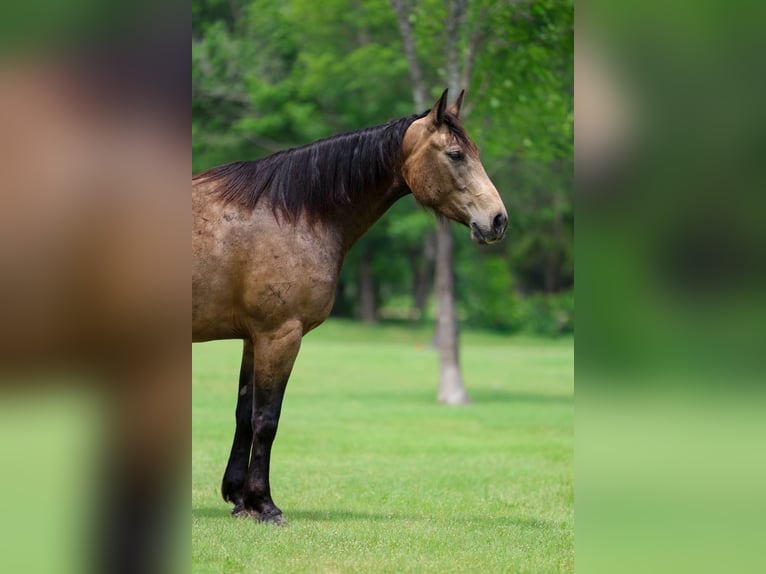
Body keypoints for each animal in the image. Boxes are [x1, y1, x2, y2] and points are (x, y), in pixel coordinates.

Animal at [192, 89, 507, 524]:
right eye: (457, 154)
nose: (498, 219)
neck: (287, 213)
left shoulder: (254, 339)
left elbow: (244, 415)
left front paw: (240, 500)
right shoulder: (280, 336)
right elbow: (266, 419)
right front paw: (265, 504)